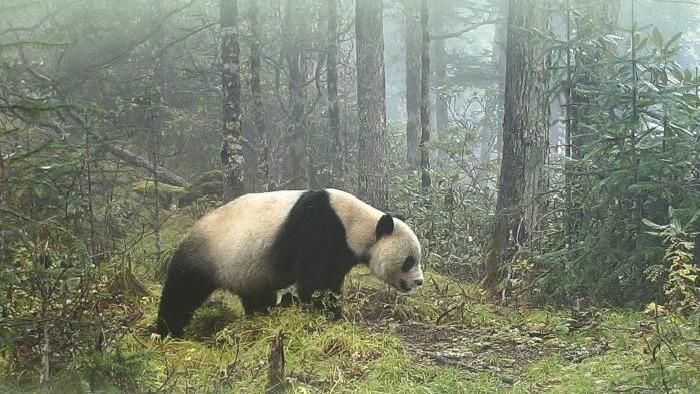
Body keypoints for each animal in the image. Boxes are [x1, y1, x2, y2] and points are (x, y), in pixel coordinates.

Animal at [157, 189, 424, 338]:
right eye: (409, 261)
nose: (419, 282)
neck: (357, 223)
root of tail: (189, 233)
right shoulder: (318, 228)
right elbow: (316, 282)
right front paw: (330, 314)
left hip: (247, 269)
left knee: (256, 296)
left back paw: (265, 312)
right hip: (206, 255)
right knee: (182, 292)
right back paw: (167, 332)